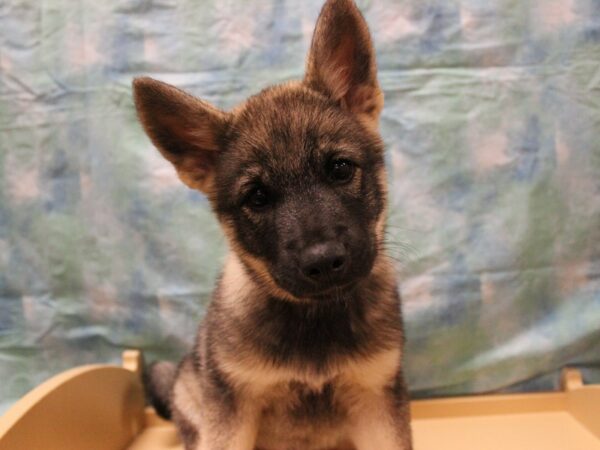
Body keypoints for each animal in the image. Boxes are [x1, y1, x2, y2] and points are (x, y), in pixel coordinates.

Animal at [132, 0, 412, 450]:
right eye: (257, 197)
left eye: (340, 169)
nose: (323, 261)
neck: (314, 319)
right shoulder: (233, 409)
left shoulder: (376, 397)